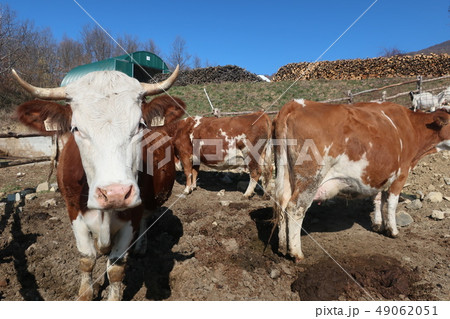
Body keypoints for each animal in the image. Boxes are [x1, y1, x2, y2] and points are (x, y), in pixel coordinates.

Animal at [13, 66, 184, 302]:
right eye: (76, 128)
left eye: (140, 125)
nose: (115, 194)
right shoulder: (73, 210)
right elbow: (87, 258)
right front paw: (86, 292)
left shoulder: (132, 214)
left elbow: (116, 268)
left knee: (146, 220)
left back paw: (140, 246)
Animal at [272, 99, 450, 262]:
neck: (411, 128)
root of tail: (296, 103)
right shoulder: (401, 174)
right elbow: (392, 203)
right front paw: (393, 231)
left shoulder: (380, 175)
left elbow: (378, 200)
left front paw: (378, 225)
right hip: (311, 177)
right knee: (296, 208)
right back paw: (296, 253)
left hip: (285, 175)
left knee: (282, 204)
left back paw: (282, 247)